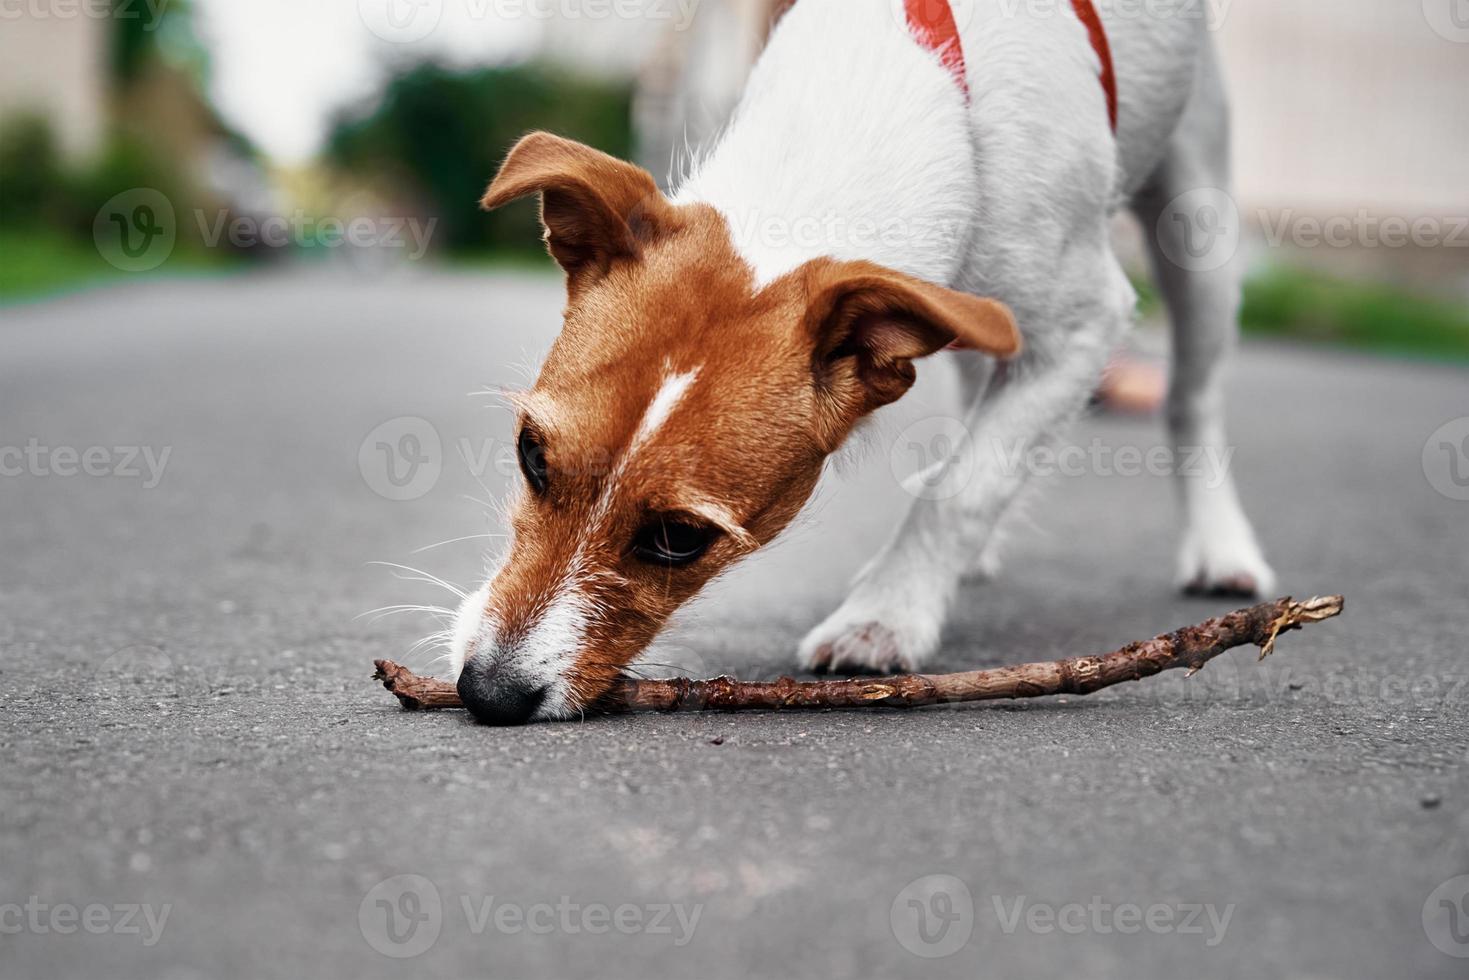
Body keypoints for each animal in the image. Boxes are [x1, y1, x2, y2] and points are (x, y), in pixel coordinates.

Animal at [443, 0, 1275, 719]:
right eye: (531, 456)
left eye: (680, 538)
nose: (488, 694)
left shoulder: (1085, 323)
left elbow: (964, 487)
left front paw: (886, 617)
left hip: (1197, 227)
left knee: (1190, 397)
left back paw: (1219, 547)